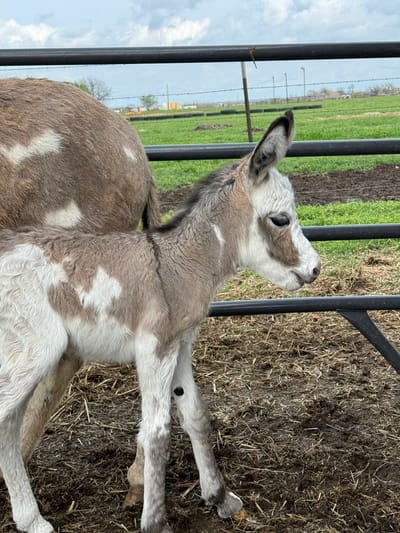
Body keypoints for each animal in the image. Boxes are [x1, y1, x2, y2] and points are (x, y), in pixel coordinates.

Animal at [0, 110, 318, 528]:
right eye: (280, 220)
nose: (315, 269)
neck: (174, 264)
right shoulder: (155, 348)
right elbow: (156, 432)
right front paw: (155, 521)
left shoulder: (180, 344)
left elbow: (195, 415)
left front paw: (220, 497)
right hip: (31, 352)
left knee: (6, 426)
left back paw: (31, 520)